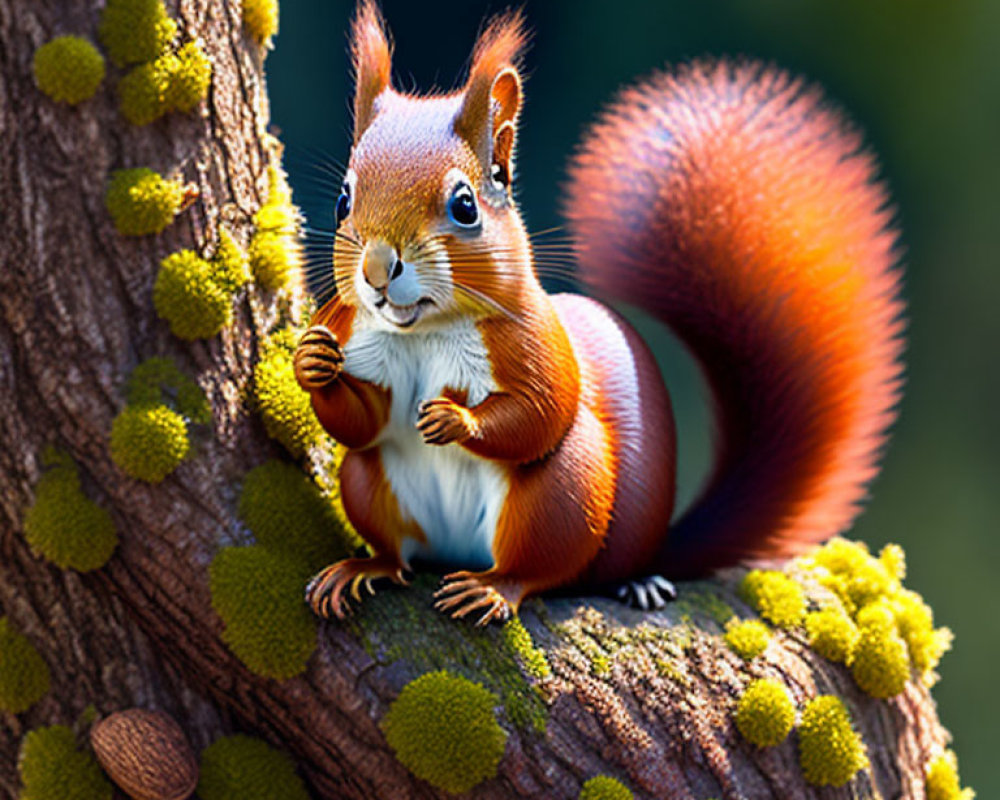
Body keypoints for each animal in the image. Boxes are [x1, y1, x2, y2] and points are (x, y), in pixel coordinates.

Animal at [292, 0, 908, 624]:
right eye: (343, 199)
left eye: (465, 205)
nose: (376, 270)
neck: (423, 332)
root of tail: (458, 556)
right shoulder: (359, 340)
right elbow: (361, 422)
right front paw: (311, 362)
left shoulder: (532, 342)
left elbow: (541, 413)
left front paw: (455, 419)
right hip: (368, 484)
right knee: (393, 538)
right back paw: (367, 566)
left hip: (565, 492)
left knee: (543, 566)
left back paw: (526, 585)